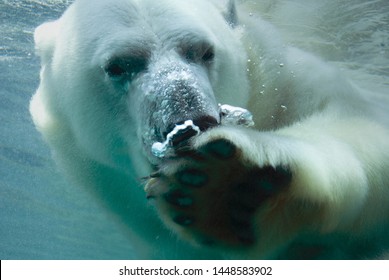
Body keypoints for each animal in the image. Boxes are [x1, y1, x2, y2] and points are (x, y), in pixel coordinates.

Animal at [31, 0, 388, 258]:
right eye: (118, 66)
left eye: (204, 51)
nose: (191, 123)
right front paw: (218, 197)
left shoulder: (281, 80)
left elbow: (356, 123)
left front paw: (227, 186)